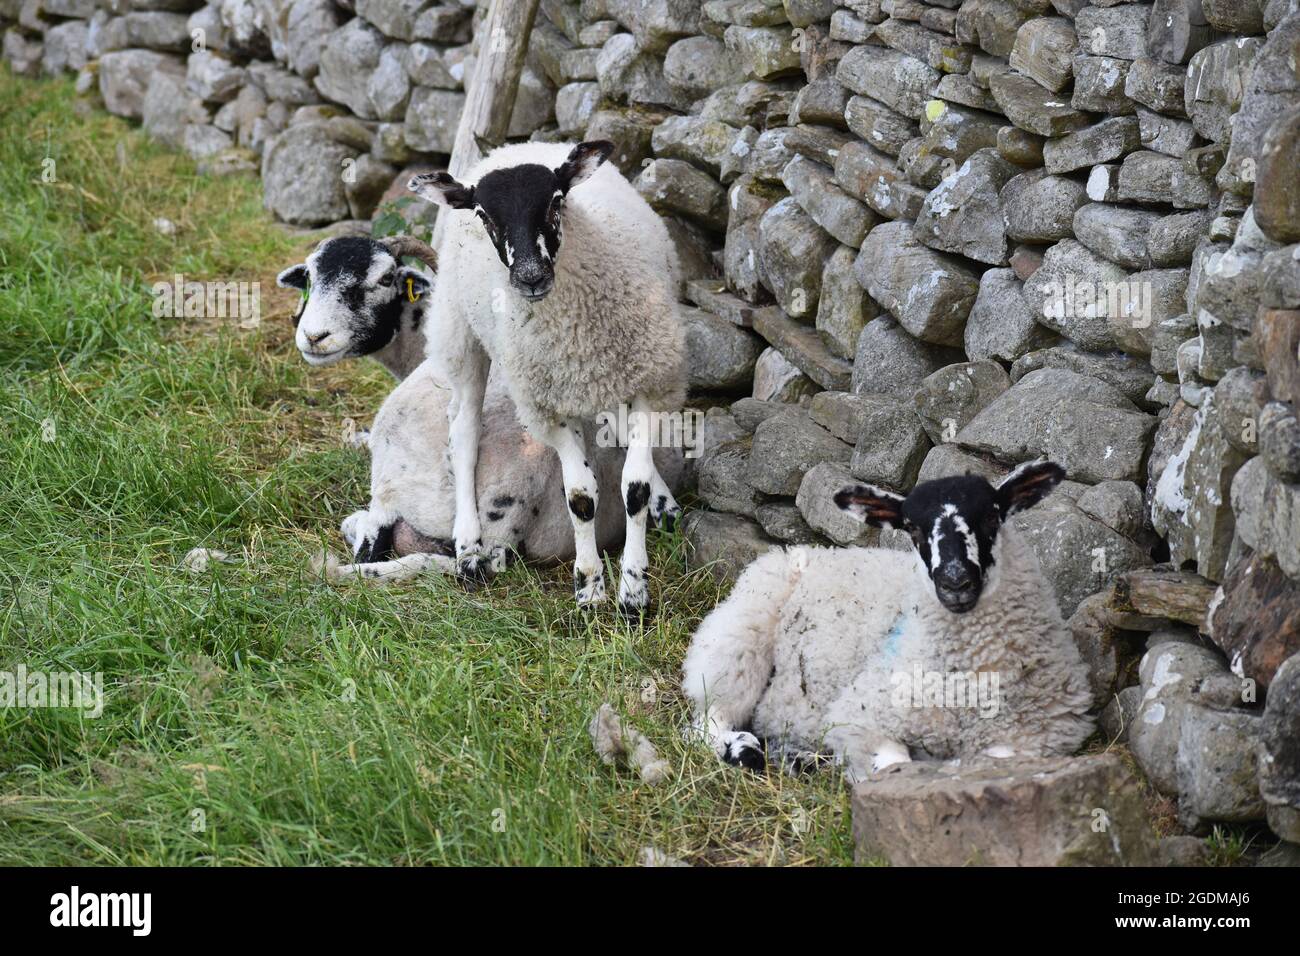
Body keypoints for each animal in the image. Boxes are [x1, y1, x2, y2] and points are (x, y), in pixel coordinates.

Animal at [409, 140, 687, 613]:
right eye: (483, 215)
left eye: (557, 201)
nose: (530, 278)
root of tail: (513, 146)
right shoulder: (549, 408)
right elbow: (580, 498)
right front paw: (590, 589)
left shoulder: (648, 381)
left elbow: (634, 488)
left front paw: (633, 592)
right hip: (460, 335)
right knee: (463, 433)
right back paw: (468, 547)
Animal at [681, 461, 1095, 782]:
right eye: (911, 527)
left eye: (992, 515)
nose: (955, 582)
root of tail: (803, 551)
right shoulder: (863, 714)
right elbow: (895, 765)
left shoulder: (1036, 739)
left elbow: (991, 759)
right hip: (737, 639)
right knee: (708, 721)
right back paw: (749, 751)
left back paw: (799, 757)